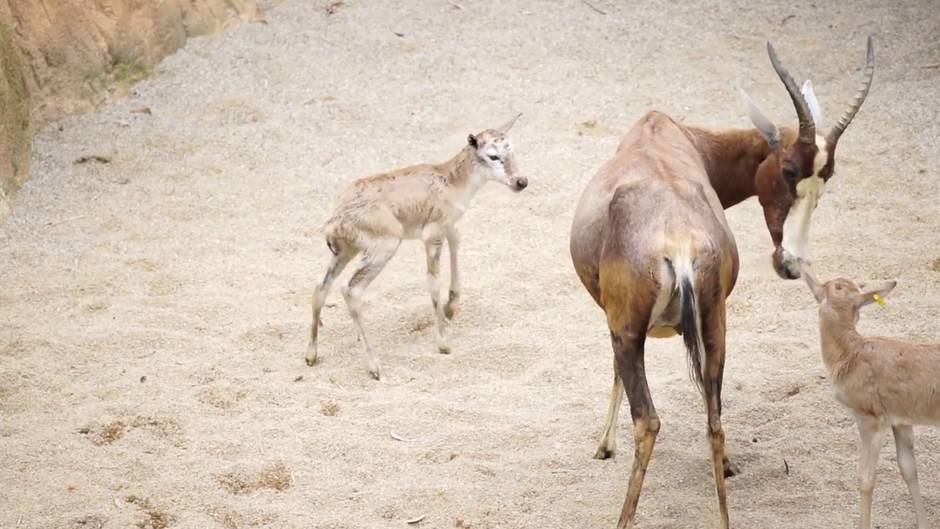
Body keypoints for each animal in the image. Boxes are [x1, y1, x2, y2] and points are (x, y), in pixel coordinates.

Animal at [306, 115, 528, 380]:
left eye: (511, 150)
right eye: (493, 155)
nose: (521, 182)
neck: (451, 179)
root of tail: (336, 217)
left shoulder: (448, 226)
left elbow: (457, 242)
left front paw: (451, 307)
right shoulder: (431, 235)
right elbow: (433, 283)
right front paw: (443, 342)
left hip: (345, 252)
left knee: (320, 287)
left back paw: (311, 355)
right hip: (384, 248)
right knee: (350, 290)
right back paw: (374, 367)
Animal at [800, 264, 940, 528]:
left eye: (835, 286)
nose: (804, 270)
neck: (848, 354)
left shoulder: (870, 418)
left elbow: (865, 479)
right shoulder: (901, 421)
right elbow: (908, 469)